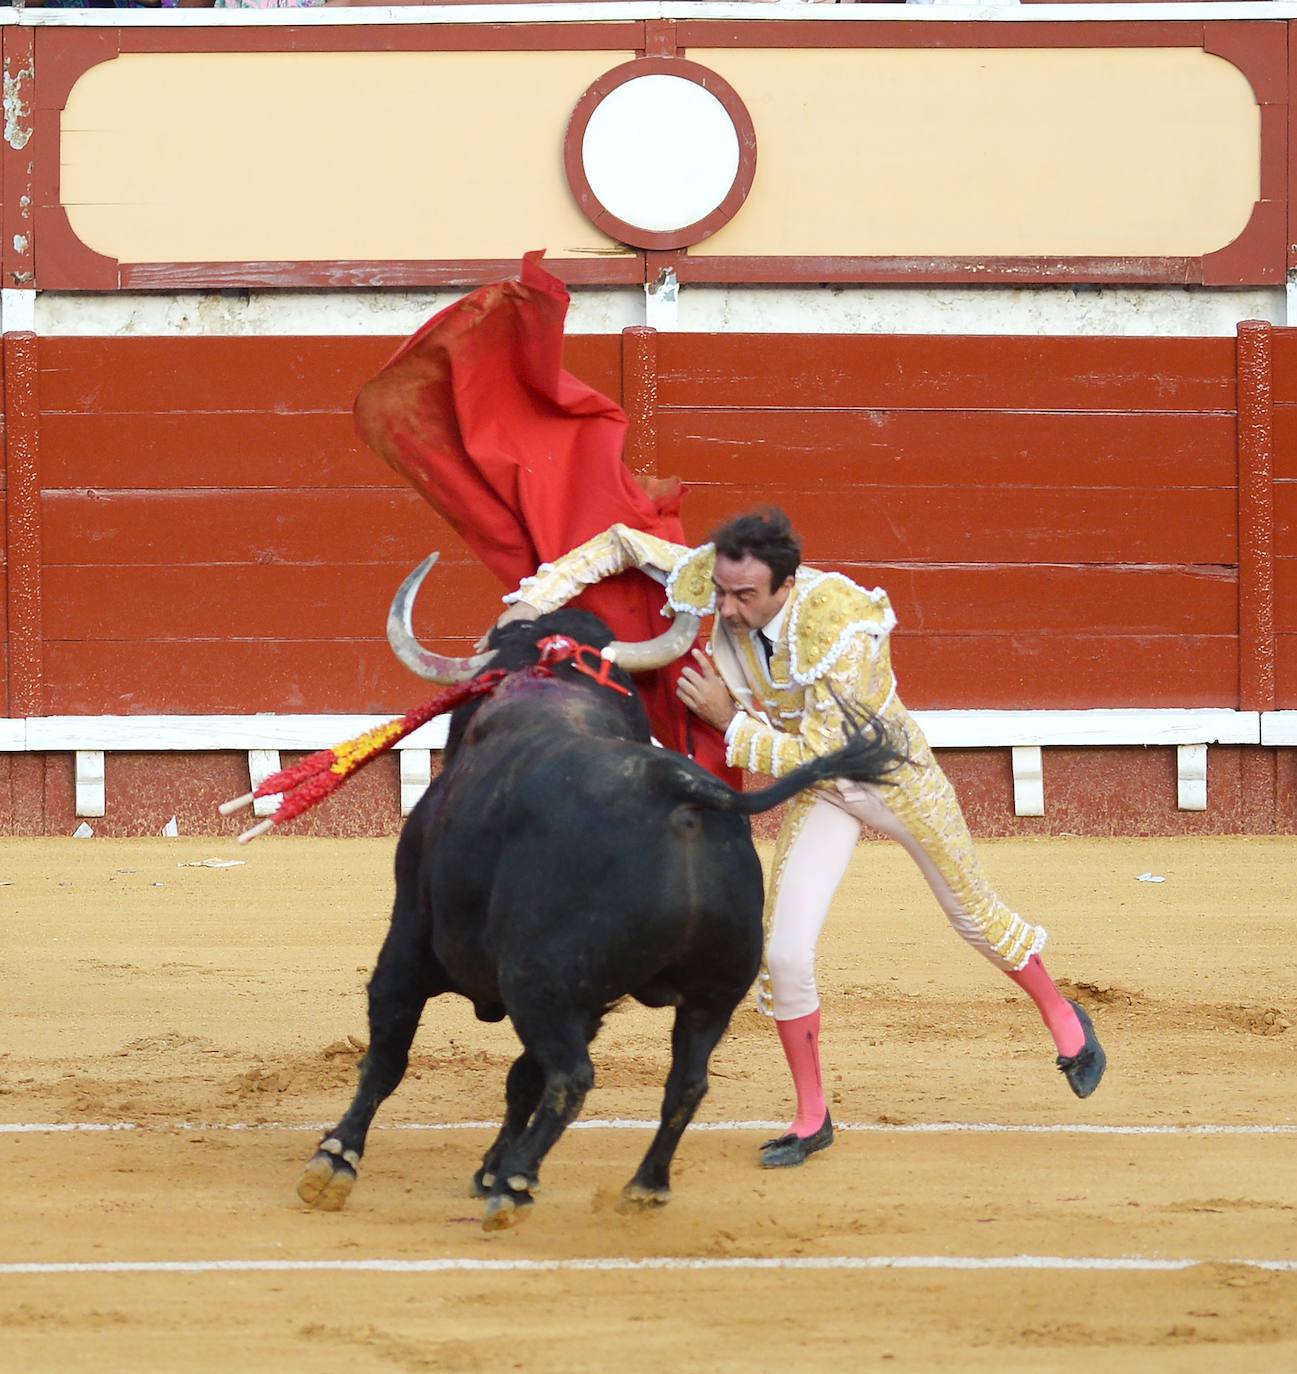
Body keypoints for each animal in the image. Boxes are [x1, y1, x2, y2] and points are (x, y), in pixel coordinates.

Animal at [296, 552, 901, 1231]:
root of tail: (680, 791)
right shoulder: (590, 1003)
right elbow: (519, 1079)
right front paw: (486, 1169)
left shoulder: (412, 939)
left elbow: (389, 1053)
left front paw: (337, 1160)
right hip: (711, 994)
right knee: (685, 1082)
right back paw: (643, 1185)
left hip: (538, 982)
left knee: (572, 1077)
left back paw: (517, 1186)